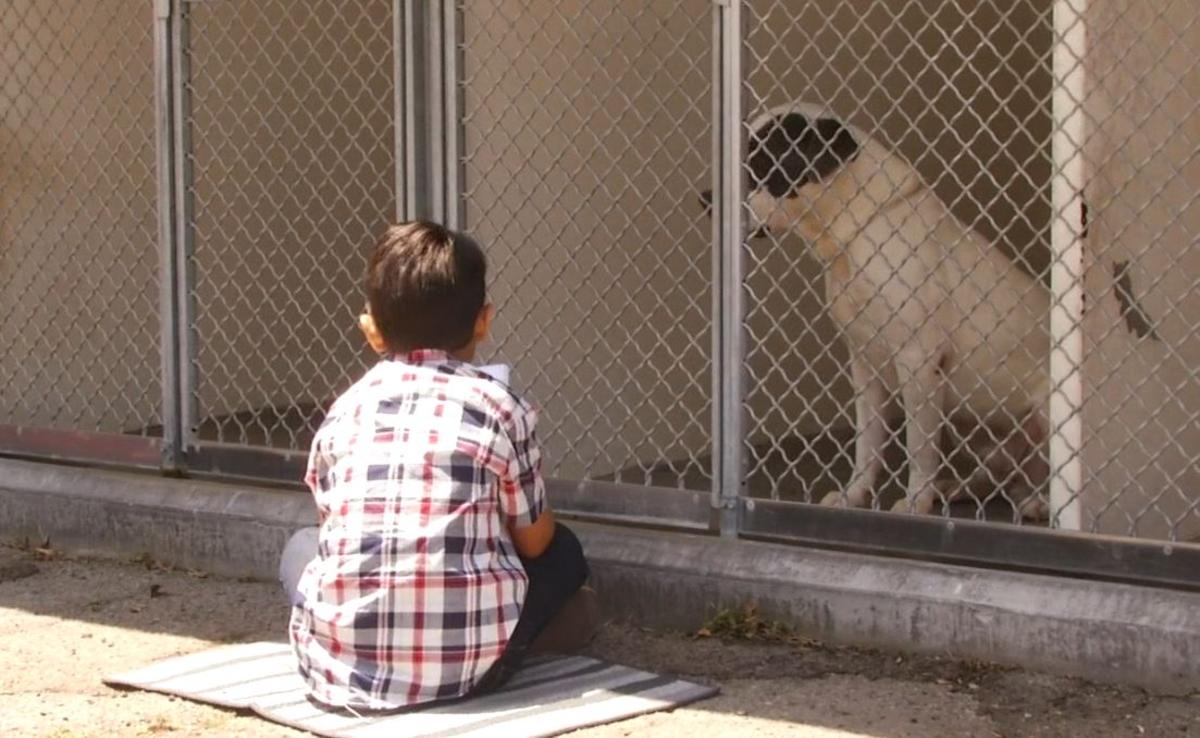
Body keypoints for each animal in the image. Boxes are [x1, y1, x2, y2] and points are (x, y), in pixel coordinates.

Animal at [700, 100, 1051, 520]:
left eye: (763, 160)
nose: (705, 199)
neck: (853, 236)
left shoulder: (919, 363)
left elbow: (919, 447)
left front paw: (916, 502)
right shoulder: (864, 364)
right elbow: (867, 444)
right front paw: (854, 495)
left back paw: (1036, 502)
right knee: (1000, 479)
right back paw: (959, 489)